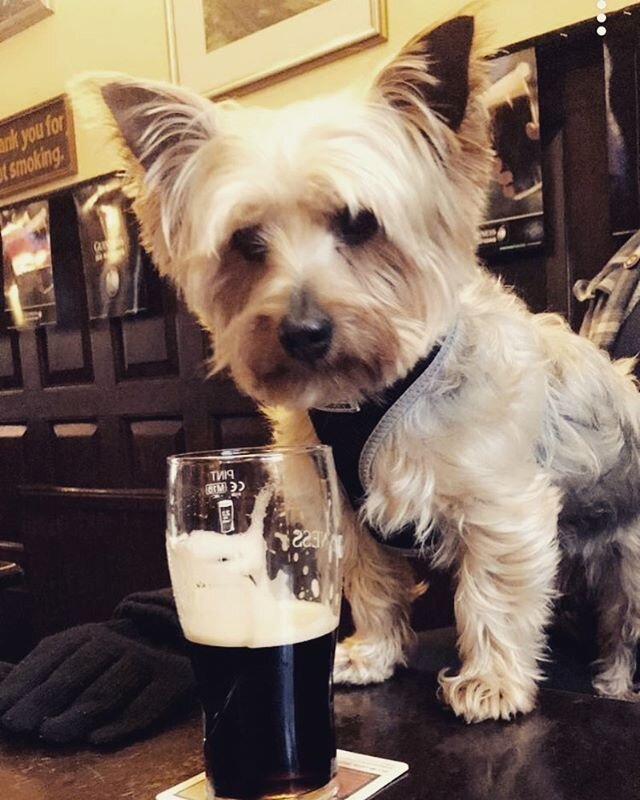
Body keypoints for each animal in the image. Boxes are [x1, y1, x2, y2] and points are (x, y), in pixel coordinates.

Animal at [76, 15, 640, 720]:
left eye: (359, 223)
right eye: (246, 243)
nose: (303, 332)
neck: (366, 395)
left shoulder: (501, 507)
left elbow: (493, 597)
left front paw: (491, 682)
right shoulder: (345, 511)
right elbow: (370, 585)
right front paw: (371, 654)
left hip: (629, 565)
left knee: (622, 627)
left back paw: (615, 685)